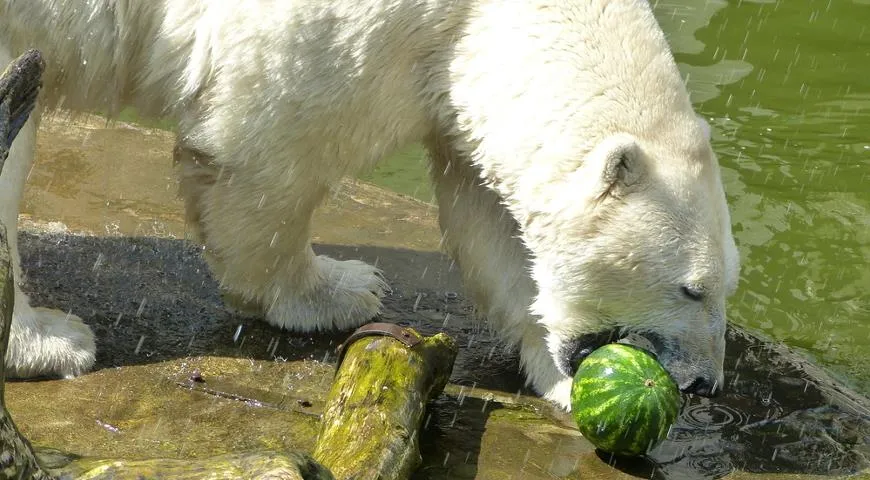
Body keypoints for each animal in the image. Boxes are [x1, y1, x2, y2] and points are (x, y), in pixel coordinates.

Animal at [0, 0, 744, 408]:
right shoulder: (343, 30)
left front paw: (560, 383)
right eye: (692, 288)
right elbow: (263, 150)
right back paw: (50, 340)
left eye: (726, 286)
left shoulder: (452, 72)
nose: (704, 385)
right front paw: (339, 291)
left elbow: (494, 226)